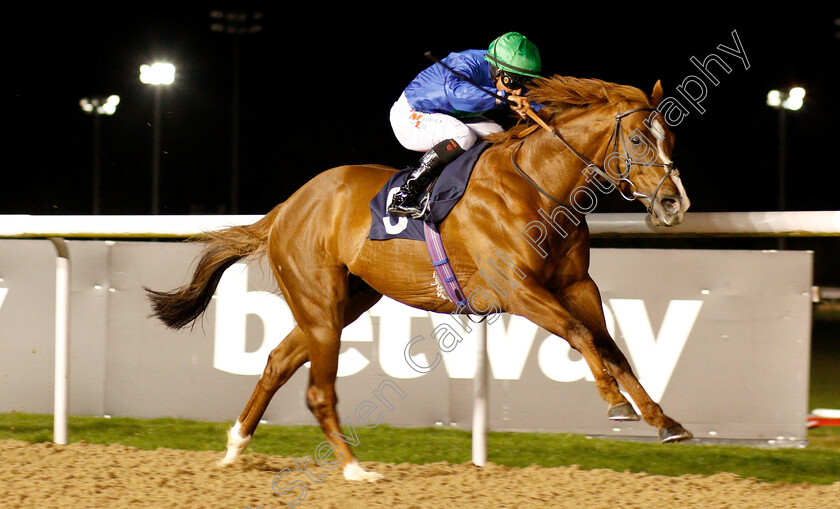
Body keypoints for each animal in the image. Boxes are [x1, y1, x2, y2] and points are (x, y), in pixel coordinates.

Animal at [148, 74, 692, 480]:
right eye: (638, 138)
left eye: (671, 137)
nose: (674, 203)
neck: (537, 185)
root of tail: (286, 207)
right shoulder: (517, 290)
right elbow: (582, 336)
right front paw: (615, 404)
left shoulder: (577, 285)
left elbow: (611, 347)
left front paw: (664, 421)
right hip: (319, 304)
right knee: (318, 390)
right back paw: (354, 469)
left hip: (346, 302)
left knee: (278, 362)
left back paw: (235, 447)